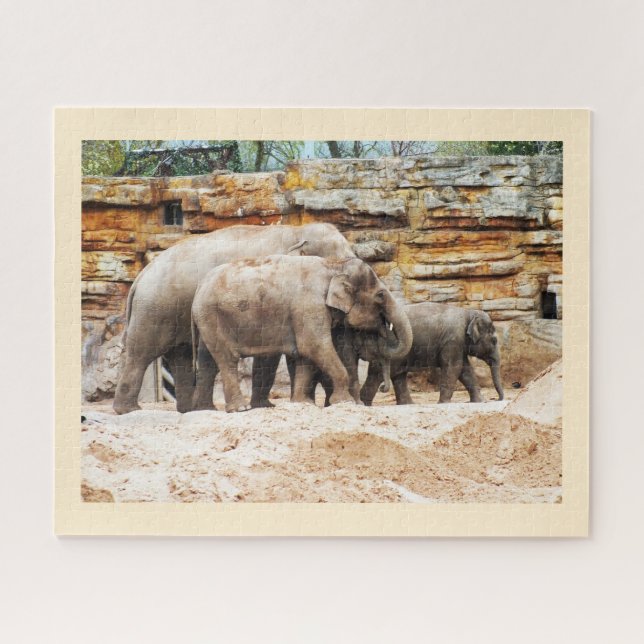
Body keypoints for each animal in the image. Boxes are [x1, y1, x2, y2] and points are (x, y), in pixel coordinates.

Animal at [113, 222, 356, 414]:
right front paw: (269, 406)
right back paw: (129, 410)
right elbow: (275, 353)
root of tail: (141, 276)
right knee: (141, 352)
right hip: (154, 310)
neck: (296, 231)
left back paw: (191, 410)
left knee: (182, 356)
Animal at [190, 255, 413, 412]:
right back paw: (240, 409)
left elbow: (306, 355)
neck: (333, 264)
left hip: (207, 319)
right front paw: (344, 402)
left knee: (209, 360)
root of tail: (199, 286)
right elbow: (315, 346)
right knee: (227, 359)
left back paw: (208, 409)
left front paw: (303, 404)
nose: (384, 388)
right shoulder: (309, 304)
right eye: (380, 295)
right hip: (212, 316)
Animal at [359, 302, 504, 405]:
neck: (468, 312)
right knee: (378, 374)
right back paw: (364, 404)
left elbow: (465, 369)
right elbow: (453, 368)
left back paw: (408, 405)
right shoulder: (453, 340)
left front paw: (481, 401)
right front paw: (443, 403)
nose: (497, 399)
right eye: (494, 341)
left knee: (398, 375)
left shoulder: (457, 344)